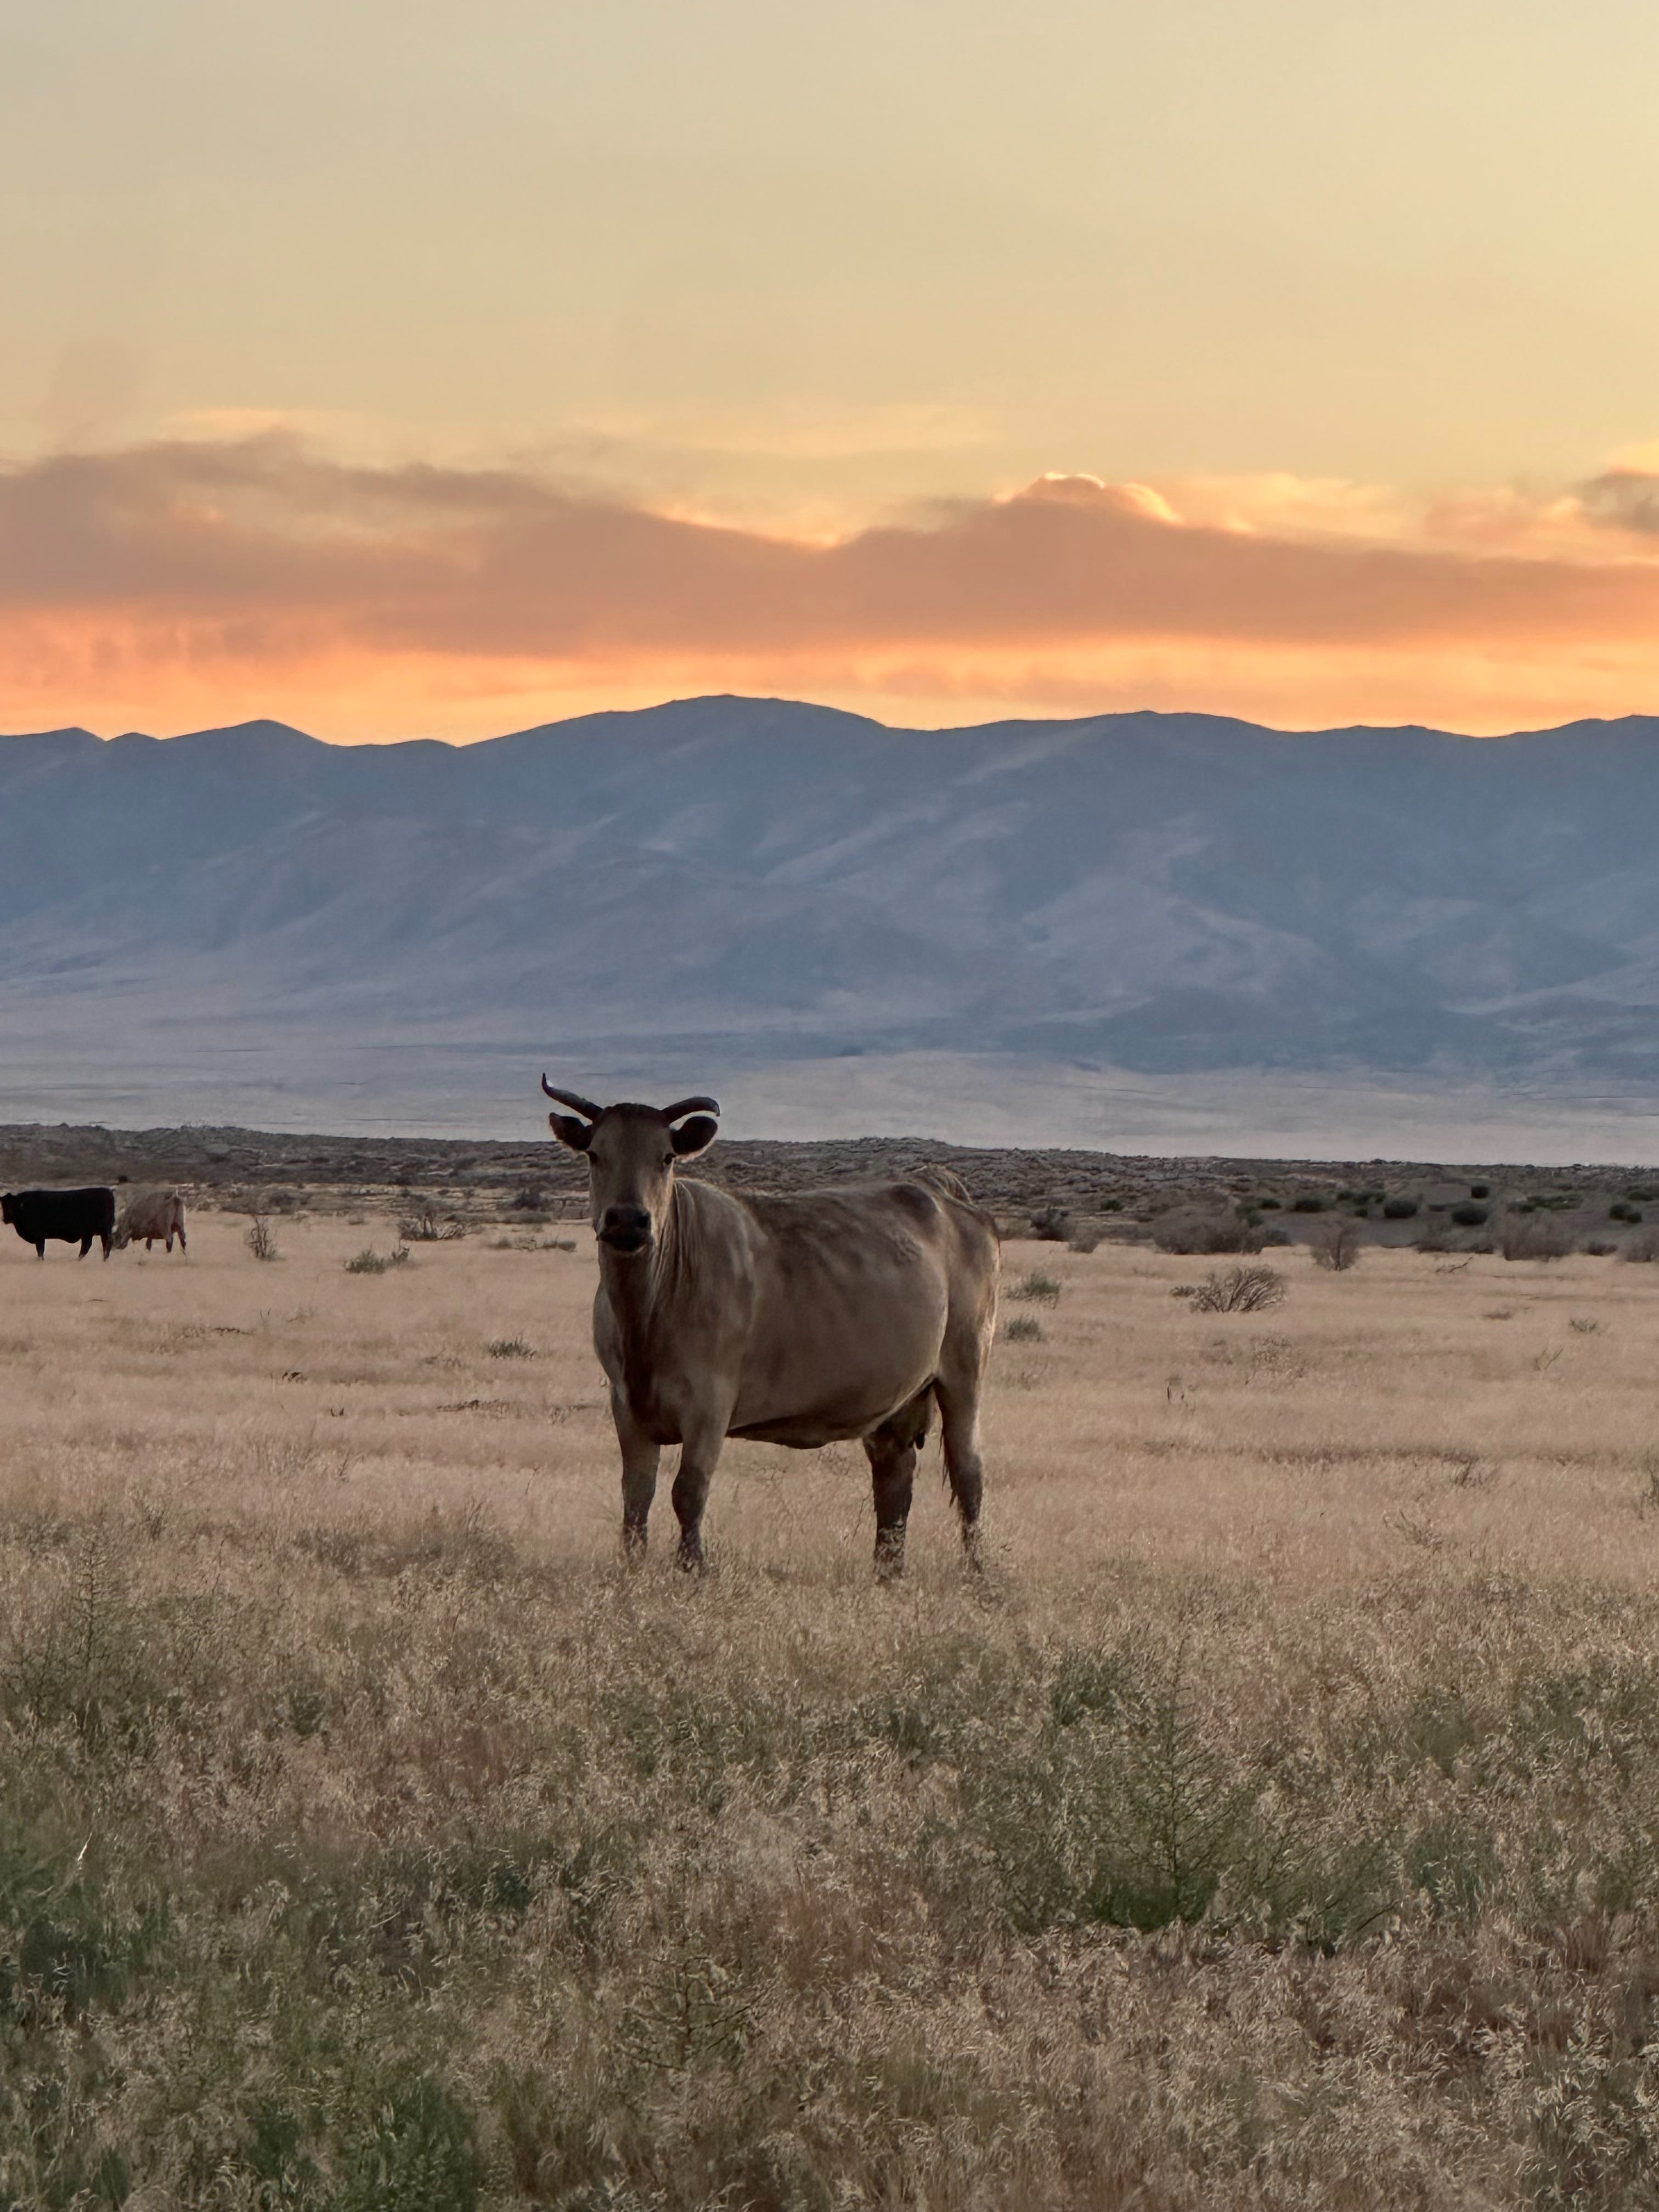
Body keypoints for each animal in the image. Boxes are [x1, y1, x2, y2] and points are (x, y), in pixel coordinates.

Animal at [1, 1186, 117, 1260]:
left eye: (13, 1206)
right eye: (3, 1206)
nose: (4, 1219)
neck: (23, 1206)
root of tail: (108, 1192)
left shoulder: (40, 1238)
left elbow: (40, 1252)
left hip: (96, 1232)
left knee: (97, 1245)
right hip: (93, 1233)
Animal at [113, 1188, 188, 1254]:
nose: (117, 1246)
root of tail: (175, 1197)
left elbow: (148, 1245)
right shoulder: (150, 1235)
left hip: (166, 1229)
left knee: (170, 1240)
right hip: (180, 1226)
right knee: (183, 1241)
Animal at [543, 1081, 999, 1576]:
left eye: (666, 1158)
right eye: (595, 1154)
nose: (628, 1219)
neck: (645, 1316)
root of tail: (936, 1191)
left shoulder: (710, 1403)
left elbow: (689, 1491)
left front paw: (692, 1568)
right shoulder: (627, 1405)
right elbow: (635, 1495)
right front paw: (632, 1567)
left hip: (965, 1370)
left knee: (970, 1473)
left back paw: (977, 1570)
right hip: (895, 1400)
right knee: (894, 1479)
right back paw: (887, 1572)